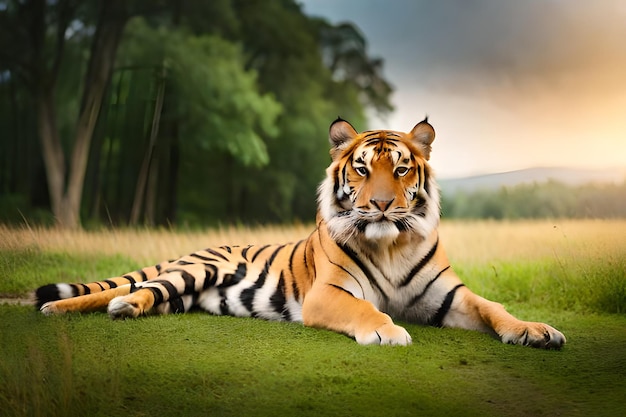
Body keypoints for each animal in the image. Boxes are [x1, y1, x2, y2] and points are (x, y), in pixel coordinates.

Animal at [35, 116, 564, 348]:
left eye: (401, 169)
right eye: (362, 168)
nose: (381, 205)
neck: (391, 244)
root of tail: (201, 248)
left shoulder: (450, 297)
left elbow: (494, 308)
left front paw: (536, 330)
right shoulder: (328, 294)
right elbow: (365, 309)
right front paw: (388, 331)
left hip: (182, 297)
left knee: (143, 295)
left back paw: (125, 309)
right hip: (189, 273)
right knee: (120, 290)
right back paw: (60, 308)